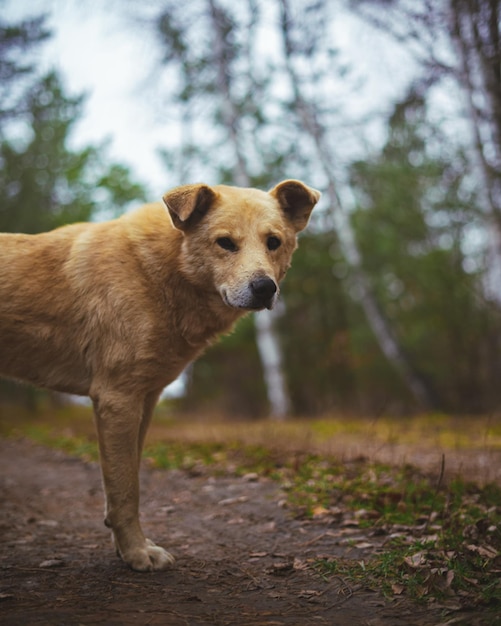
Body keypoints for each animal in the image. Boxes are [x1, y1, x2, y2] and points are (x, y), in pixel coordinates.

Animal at [0, 179, 320, 572]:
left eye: (273, 242)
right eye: (225, 243)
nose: (264, 288)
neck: (158, 270)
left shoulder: (145, 400)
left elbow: (123, 483)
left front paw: (126, 549)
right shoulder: (117, 399)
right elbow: (126, 490)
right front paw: (137, 554)